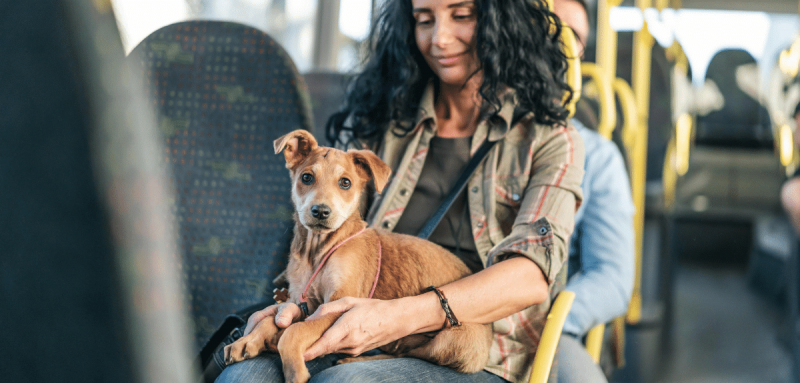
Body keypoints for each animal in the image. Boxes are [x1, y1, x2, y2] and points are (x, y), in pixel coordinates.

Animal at [222, 130, 490, 382]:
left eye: (345, 183)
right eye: (306, 177)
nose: (320, 211)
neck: (317, 252)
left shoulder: (337, 306)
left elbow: (292, 333)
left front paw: (294, 371)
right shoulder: (303, 303)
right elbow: (272, 320)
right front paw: (247, 341)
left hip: (455, 342)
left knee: (416, 354)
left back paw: (353, 360)